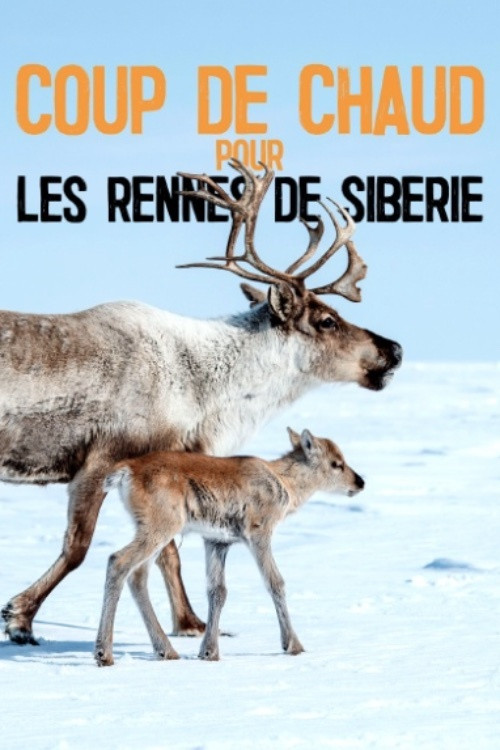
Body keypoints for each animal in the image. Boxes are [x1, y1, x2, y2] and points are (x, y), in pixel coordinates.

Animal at [95, 427, 364, 666]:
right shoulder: (259, 533)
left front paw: (209, 652)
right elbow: (275, 583)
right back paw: (104, 653)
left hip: (153, 532)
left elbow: (218, 591)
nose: (360, 482)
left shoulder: (217, 541)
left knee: (138, 576)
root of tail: (126, 471)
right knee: (117, 561)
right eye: (336, 463)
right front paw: (293, 645)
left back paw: (166, 650)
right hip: (160, 528)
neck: (284, 483)